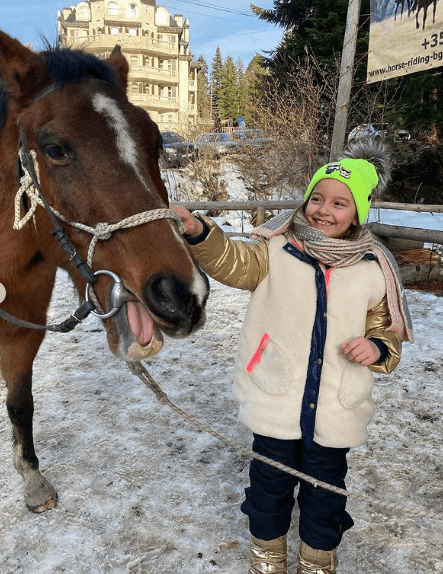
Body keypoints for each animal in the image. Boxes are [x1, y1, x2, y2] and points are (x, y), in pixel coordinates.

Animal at [0, 31, 211, 516]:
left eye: (156, 142)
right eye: (55, 149)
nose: (182, 294)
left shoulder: (25, 323)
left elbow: (20, 402)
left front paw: (31, 477)